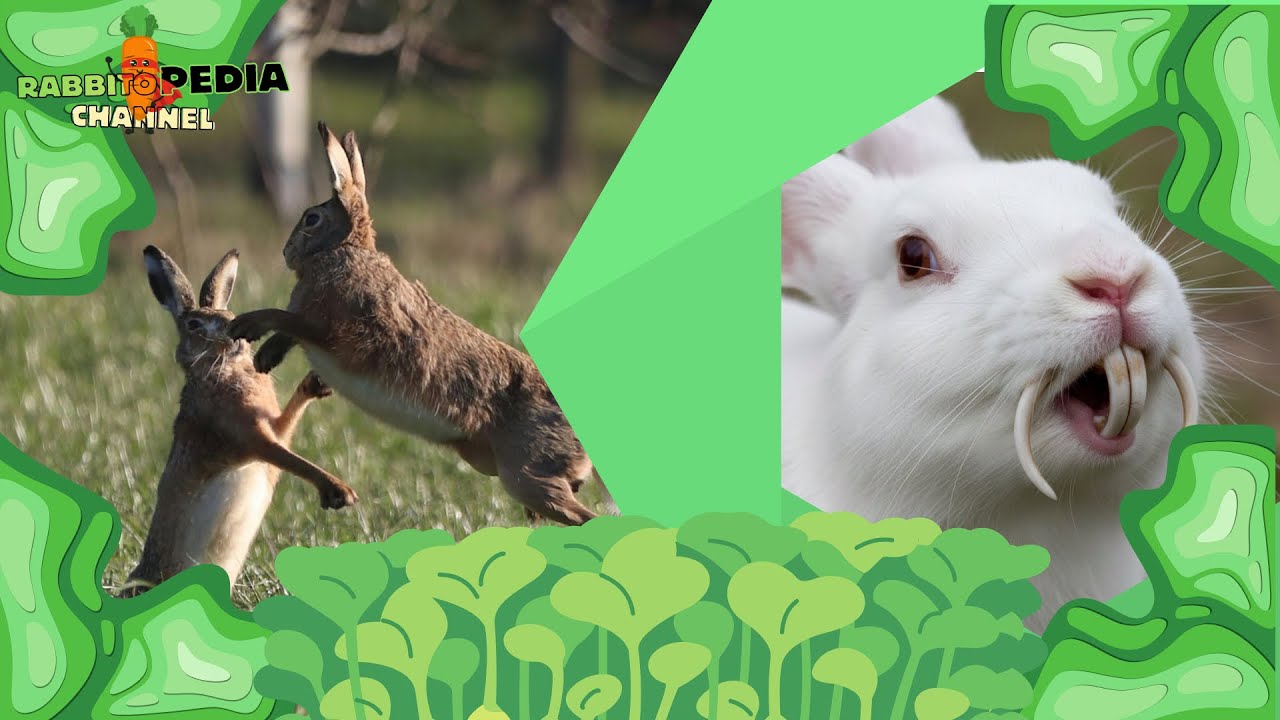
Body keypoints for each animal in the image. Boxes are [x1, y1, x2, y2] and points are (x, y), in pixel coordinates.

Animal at [119, 246, 358, 598]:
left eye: (231, 316)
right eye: (195, 324)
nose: (237, 341)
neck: (224, 369)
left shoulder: (274, 427)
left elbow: (287, 427)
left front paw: (316, 384)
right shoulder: (247, 436)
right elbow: (289, 458)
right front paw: (340, 493)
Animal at [227, 123, 607, 526]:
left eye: (311, 219)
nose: (286, 252)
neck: (345, 250)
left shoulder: (338, 333)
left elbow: (290, 319)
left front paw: (245, 326)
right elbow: (290, 328)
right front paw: (263, 358)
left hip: (527, 476)